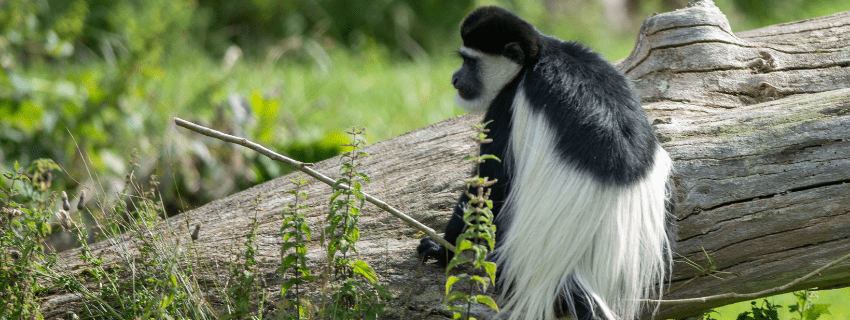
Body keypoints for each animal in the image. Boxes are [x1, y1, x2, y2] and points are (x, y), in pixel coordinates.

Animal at [414, 6, 672, 320]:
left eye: (470, 62)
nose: (454, 78)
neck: (536, 57)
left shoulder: (506, 105)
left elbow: (490, 182)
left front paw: (442, 249)